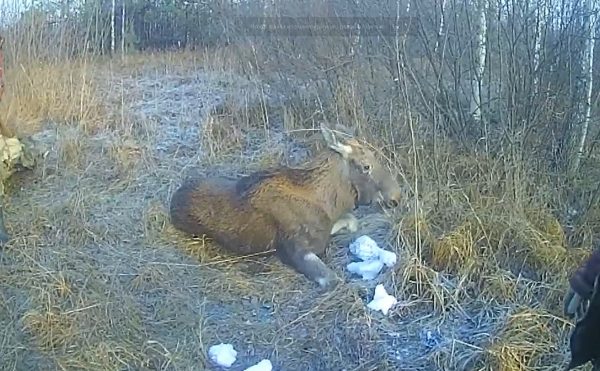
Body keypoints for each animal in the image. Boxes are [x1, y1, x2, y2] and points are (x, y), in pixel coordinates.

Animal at [170, 125, 404, 290]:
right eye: (366, 166)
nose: (396, 197)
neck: (330, 203)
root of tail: (173, 198)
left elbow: (352, 221)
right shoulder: (297, 250)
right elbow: (334, 280)